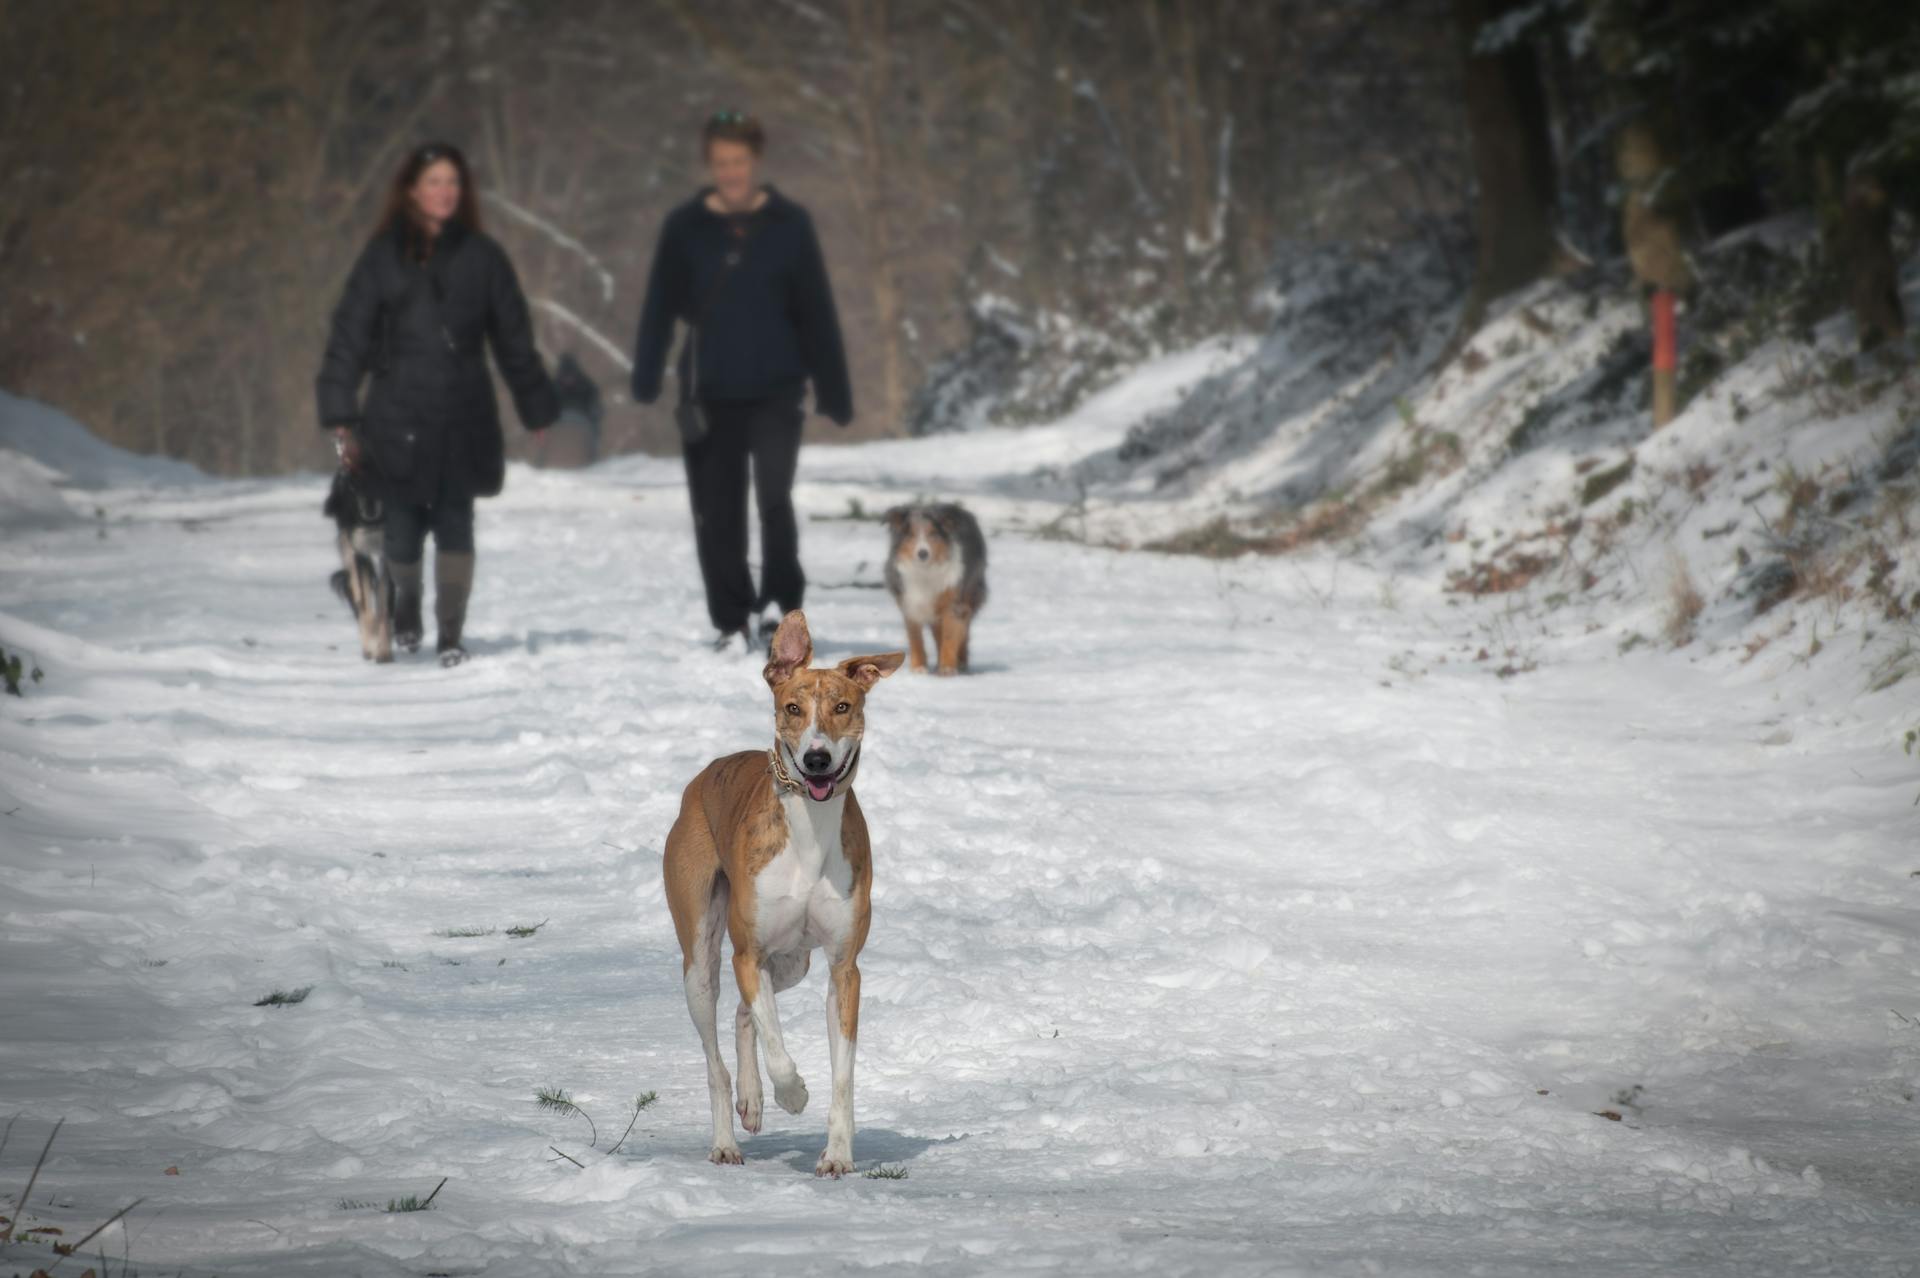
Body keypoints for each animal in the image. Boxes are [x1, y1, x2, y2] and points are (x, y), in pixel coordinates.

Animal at [320, 470, 391, 667]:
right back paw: (368, 646)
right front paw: (373, 640)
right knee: (358, 596)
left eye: (381, 479)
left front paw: (384, 652)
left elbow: (383, 604)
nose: (370, 507)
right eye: (355, 483)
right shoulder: (360, 554)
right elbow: (365, 602)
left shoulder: (388, 554)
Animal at [664, 610, 902, 1174]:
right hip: (701, 959)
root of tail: (703, 776)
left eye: (843, 706)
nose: (816, 759)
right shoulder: (747, 954)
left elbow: (843, 1073)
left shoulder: (843, 968)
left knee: (743, 1013)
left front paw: (837, 1154)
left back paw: (751, 1101)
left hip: (795, 961)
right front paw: (792, 1094)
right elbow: (776, 1045)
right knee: (718, 1056)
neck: (809, 829)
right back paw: (727, 1138)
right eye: (793, 708)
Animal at [883, 498, 990, 675]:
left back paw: (961, 662)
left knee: (963, 630)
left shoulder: (953, 600)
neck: (925, 571)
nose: (923, 553)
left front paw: (947, 668)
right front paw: (919, 668)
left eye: (933, 534)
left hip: (969, 592)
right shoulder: (910, 602)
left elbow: (951, 635)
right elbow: (915, 637)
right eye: (911, 535)